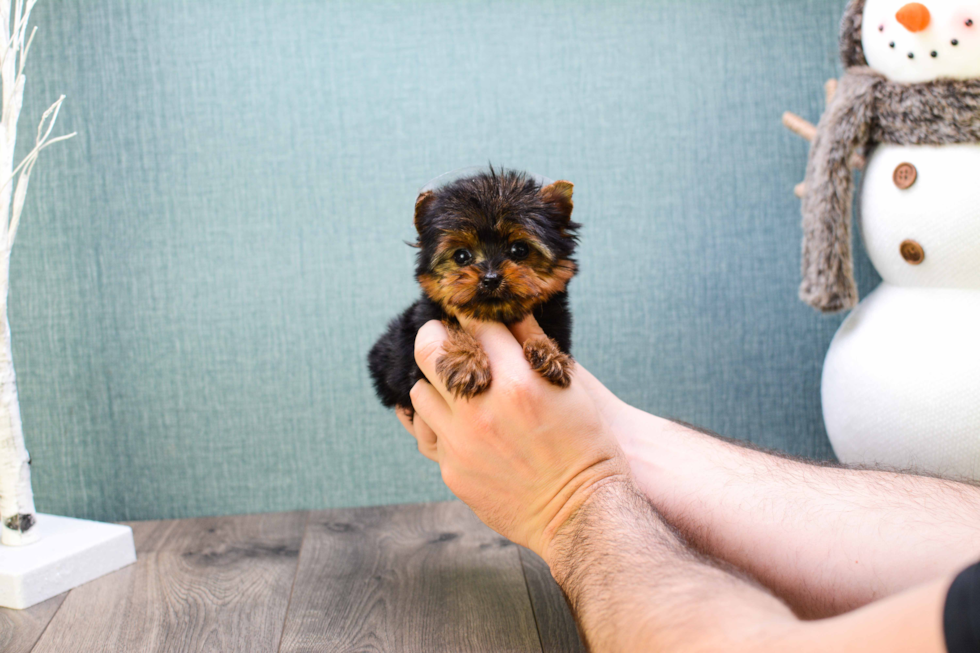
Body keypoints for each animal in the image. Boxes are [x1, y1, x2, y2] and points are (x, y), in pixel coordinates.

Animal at [370, 168, 580, 412]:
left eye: (520, 249)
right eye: (461, 255)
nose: (491, 279)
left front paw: (549, 353)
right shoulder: (415, 362)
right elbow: (452, 326)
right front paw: (466, 358)